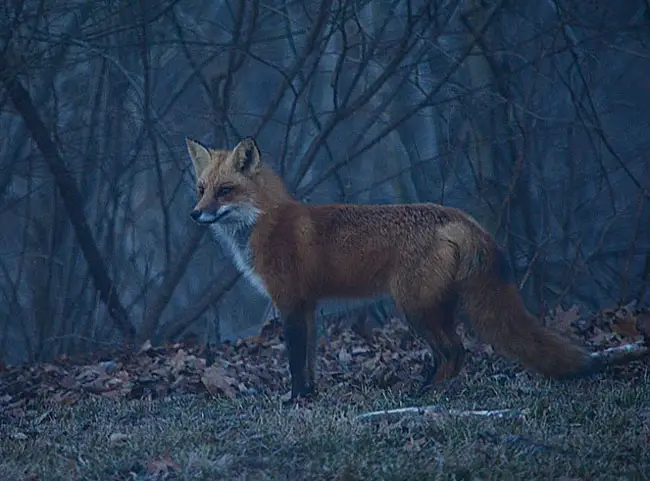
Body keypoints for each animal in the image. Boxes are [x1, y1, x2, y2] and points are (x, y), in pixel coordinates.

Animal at [184, 137, 604, 400]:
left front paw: (293, 400)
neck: (265, 223)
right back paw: (427, 388)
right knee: (454, 354)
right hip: (431, 308)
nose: (195, 214)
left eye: (225, 191)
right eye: (201, 189)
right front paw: (310, 396)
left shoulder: (289, 303)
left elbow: (294, 363)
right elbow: (310, 362)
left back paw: (425, 393)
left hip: (414, 309)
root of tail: (458, 217)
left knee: (454, 352)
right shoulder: (309, 306)